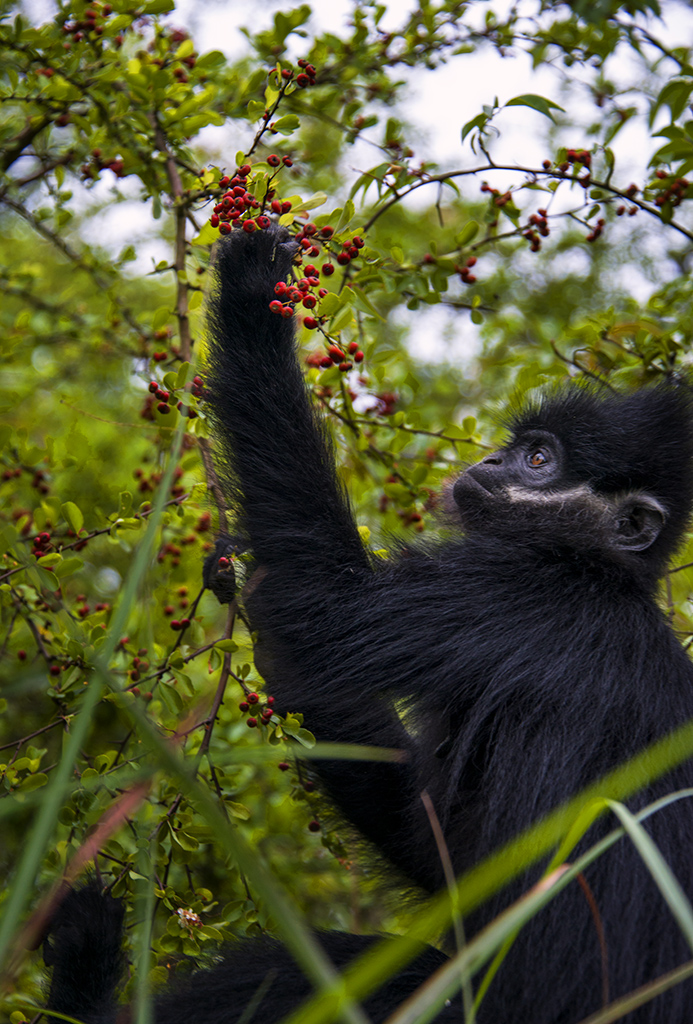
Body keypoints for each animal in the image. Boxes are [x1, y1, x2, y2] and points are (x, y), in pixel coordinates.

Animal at [44, 226, 693, 1024]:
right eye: (516, 449)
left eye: (538, 459)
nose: (487, 459)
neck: (597, 570)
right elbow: (435, 850)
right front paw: (235, 574)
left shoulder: (517, 595)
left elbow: (324, 610)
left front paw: (252, 292)